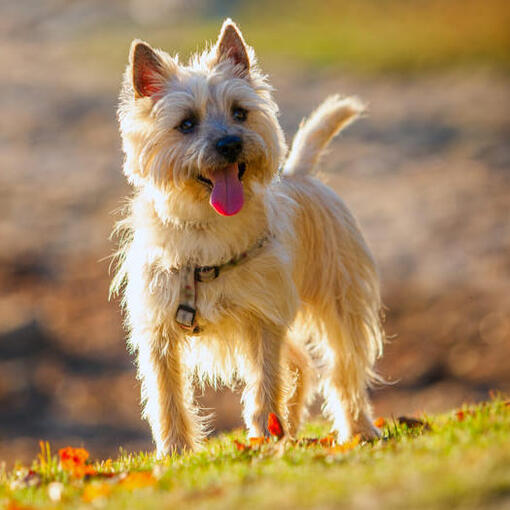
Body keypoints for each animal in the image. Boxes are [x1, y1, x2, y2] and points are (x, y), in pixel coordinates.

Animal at [110, 18, 382, 458]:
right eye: (186, 123)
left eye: (240, 113)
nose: (230, 143)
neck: (206, 227)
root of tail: (301, 173)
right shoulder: (159, 331)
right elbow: (167, 396)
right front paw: (175, 452)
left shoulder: (262, 320)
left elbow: (264, 383)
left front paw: (263, 439)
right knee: (301, 364)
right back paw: (292, 424)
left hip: (340, 306)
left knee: (342, 370)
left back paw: (357, 429)